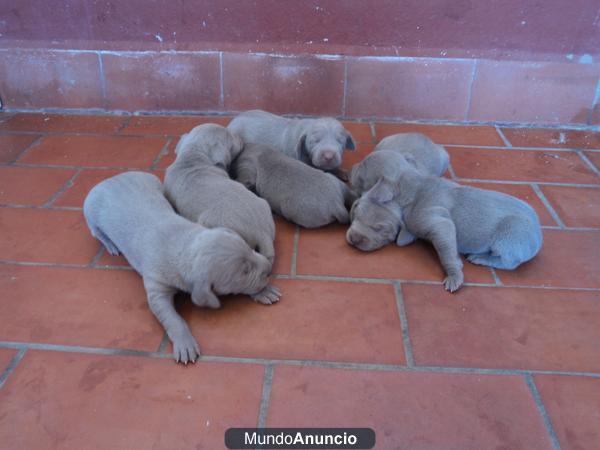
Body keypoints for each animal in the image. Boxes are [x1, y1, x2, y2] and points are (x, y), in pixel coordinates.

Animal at [83, 171, 278, 364]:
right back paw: (111, 245)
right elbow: (172, 318)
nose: (269, 269)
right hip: (90, 211)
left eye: (250, 248)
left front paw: (264, 291)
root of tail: (110, 178)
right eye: (244, 271)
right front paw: (185, 344)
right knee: (96, 231)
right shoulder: (156, 287)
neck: (184, 245)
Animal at [344, 169, 540, 292]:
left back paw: (480, 258)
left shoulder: (437, 221)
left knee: (509, 261)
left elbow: (446, 250)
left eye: (380, 228)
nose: (354, 239)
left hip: (510, 238)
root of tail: (539, 235)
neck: (402, 194)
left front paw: (454, 276)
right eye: (355, 215)